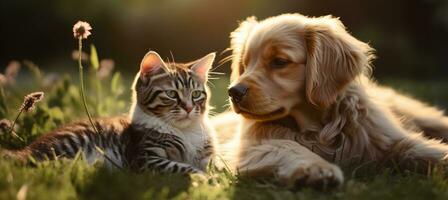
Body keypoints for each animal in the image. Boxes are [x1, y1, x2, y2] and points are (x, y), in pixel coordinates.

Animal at [2, 51, 217, 173]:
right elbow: (181, 167)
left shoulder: (208, 155)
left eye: (196, 94)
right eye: (172, 94)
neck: (186, 132)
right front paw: (205, 179)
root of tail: (26, 149)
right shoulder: (144, 158)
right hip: (70, 144)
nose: (188, 108)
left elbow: (217, 166)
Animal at [218, 13, 448, 189]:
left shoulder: (386, 138)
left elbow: (421, 149)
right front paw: (316, 169)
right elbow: (287, 146)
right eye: (245, 65)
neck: (315, 128)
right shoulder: (253, 146)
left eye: (280, 62)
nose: (233, 91)